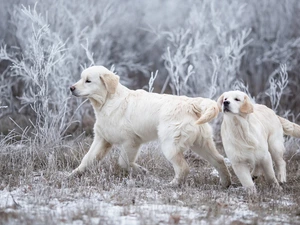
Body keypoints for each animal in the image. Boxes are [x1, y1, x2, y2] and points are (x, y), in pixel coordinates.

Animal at [69, 64, 232, 186]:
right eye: (81, 78)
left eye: (88, 81)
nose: (71, 88)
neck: (107, 101)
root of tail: (191, 104)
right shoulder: (102, 139)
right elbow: (87, 159)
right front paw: (73, 174)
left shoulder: (131, 141)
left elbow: (124, 162)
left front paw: (141, 170)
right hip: (201, 143)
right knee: (219, 160)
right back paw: (225, 183)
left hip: (170, 145)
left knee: (184, 168)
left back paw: (172, 184)